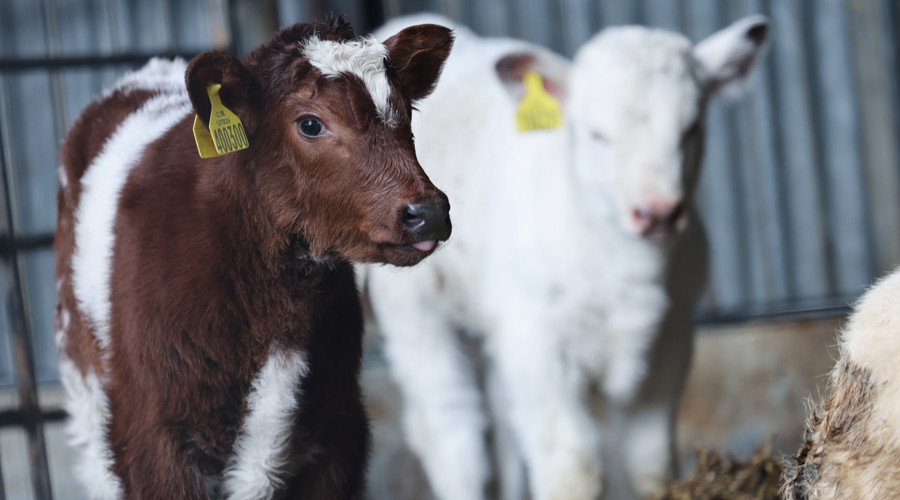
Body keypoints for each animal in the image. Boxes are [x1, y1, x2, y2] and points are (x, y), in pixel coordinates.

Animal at [370, 12, 768, 500]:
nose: (658, 212)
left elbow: (650, 464)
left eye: (691, 127)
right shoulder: (538, 341)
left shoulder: (671, 336)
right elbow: (570, 468)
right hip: (411, 306)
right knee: (449, 427)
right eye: (595, 133)